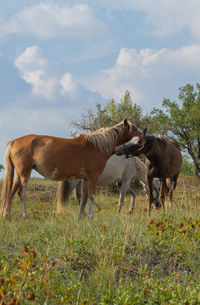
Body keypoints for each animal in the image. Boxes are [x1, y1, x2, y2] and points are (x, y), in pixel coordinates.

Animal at [0, 117, 141, 217]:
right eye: (134, 128)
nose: (142, 136)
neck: (97, 146)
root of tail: (14, 141)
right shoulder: (93, 177)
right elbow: (91, 196)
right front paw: (91, 217)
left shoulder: (84, 179)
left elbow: (83, 198)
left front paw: (81, 217)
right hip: (25, 174)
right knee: (21, 194)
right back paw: (25, 216)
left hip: (18, 175)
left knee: (11, 192)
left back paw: (7, 214)